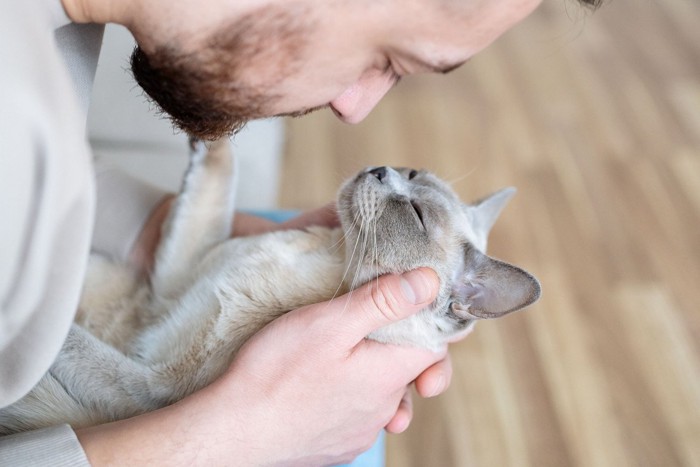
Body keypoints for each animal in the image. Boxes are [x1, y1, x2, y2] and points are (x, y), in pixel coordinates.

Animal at [0, 138, 540, 436]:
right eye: (410, 173)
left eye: (414, 213)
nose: (379, 169)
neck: (328, 256)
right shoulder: (168, 290)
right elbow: (213, 182)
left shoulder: (151, 388)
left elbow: (63, 339)